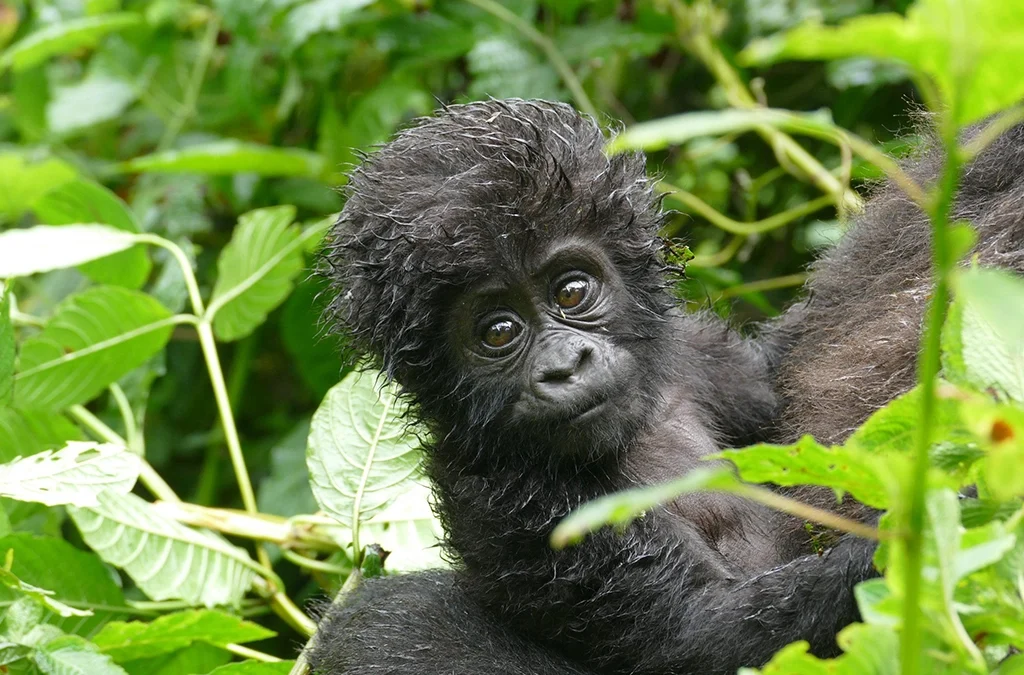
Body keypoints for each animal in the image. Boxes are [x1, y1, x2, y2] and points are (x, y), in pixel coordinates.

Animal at [307, 98, 883, 675]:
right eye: (499, 331)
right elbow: (705, 636)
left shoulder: (702, 355)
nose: (564, 365)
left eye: (572, 291)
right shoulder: (510, 497)